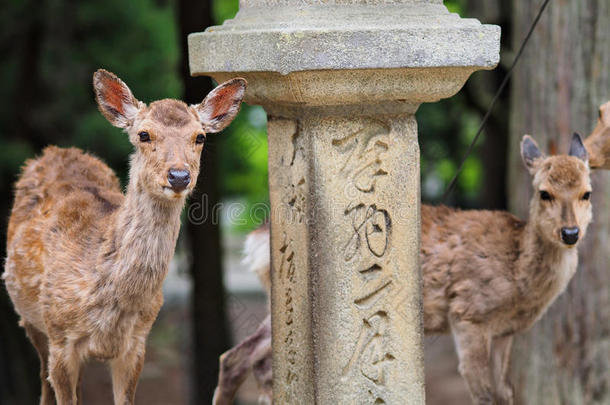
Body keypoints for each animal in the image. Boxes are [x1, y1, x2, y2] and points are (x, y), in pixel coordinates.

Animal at [2, 69, 245, 404]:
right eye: (144, 134)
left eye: (200, 137)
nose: (179, 176)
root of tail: (55, 151)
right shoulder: (59, 337)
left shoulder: (136, 343)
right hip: (31, 321)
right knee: (43, 383)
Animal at [211, 100, 608, 404]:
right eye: (545, 193)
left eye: (587, 193)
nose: (570, 233)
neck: (517, 278)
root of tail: (255, 240)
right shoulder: (468, 313)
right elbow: (485, 395)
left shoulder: (505, 333)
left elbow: (507, 394)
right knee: (254, 360)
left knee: (241, 358)